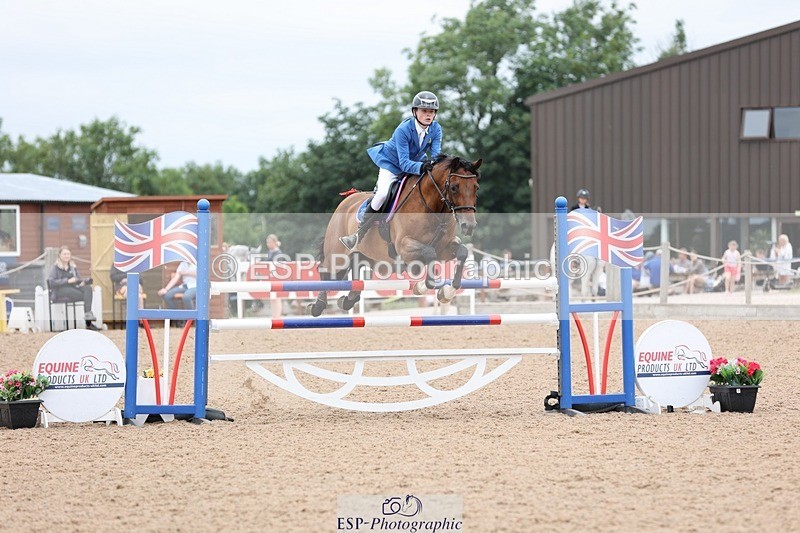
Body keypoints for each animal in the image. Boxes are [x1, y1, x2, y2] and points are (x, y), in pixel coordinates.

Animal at [307, 154, 482, 317]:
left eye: (476, 188)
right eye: (454, 187)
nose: (469, 226)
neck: (431, 208)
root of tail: (347, 199)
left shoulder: (444, 248)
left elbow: (462, 252)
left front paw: (447, 292)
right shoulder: (404, 247)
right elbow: (429, 253)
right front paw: (422, 286)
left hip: (368, 258)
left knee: (356, 272)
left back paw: (347, 300)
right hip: (337, 256)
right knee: (326, 271)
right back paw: (317, 306)